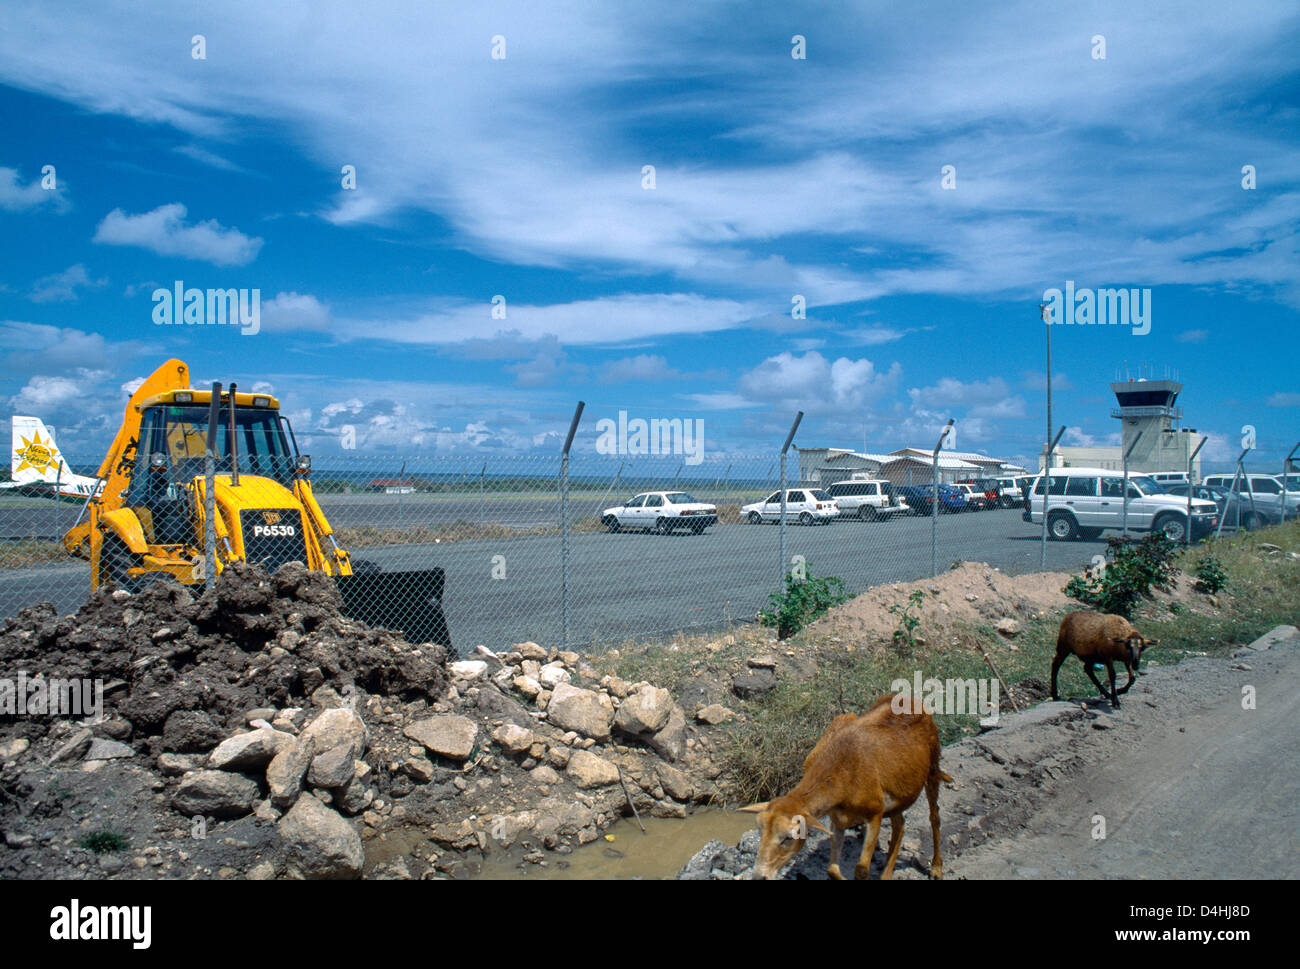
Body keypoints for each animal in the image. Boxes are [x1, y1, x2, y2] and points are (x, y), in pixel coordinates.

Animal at [741, 694, 951, 880]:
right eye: (760, 833)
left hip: (932, 767)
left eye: (788, 838)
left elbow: (861, 870)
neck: (840, 772)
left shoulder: (875, 812)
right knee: (899, 825)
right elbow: (832, 870)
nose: (759, 877)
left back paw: (936, 868)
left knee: (934, 817)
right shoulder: (837, 818)